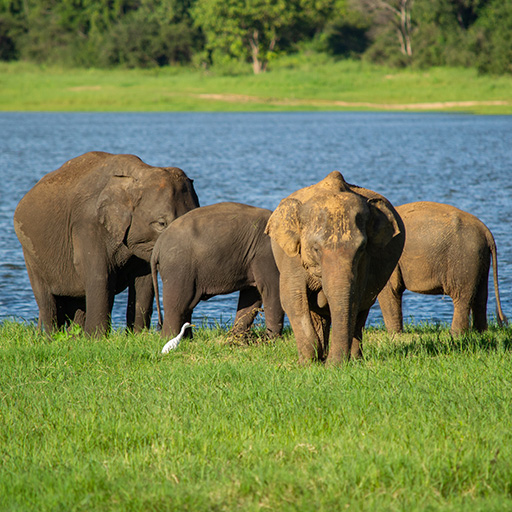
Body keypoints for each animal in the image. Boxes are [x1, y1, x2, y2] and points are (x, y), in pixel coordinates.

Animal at [14, 151, 198, 336]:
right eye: (161, 224)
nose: (160, 325)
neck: (138, 174)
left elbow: (144, 282)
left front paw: (136, 336)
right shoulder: (88, 224)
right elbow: (99, 276)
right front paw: (96, 338)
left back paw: (74, 338)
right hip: (30, 253)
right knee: (47, 301)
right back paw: (50, 338)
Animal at [150, 201, 286, 340]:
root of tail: (157, 247)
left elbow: (252, 294)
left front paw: (237, 337)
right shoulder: (267, 254)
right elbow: (271, 289)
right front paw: (274, 340)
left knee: (186, 306)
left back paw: (188, 339)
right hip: (178, 268)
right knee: (178, 305)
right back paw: (169, 339)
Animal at [266, 171, 406, 364]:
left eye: (361, 248)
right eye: (316, 249)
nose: (333, 365)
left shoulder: (365, 262)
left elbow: (355, 298)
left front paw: (331, 362)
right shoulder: (292, 258)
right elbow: (292, 298)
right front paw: (308, 362)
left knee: (363, 307)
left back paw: (354, 359)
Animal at [376, 200, 508, 336]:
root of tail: (486, 232)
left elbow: (389, 289)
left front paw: (394, 335)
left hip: (464, 258)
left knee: (463, 297)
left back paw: (456, 335)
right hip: (481, 258)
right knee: (481, 296)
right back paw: (480, 333)